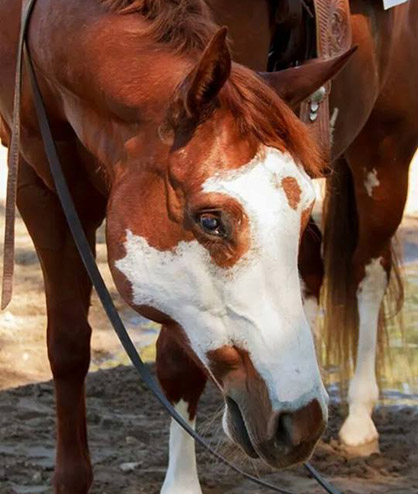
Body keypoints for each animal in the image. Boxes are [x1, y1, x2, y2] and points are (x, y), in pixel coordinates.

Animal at [0, 0, 356, 494]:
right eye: (210, 220)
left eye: (305, 211)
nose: (301, 424)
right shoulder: (38, 191)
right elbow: (68, 346)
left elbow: (178, 364)